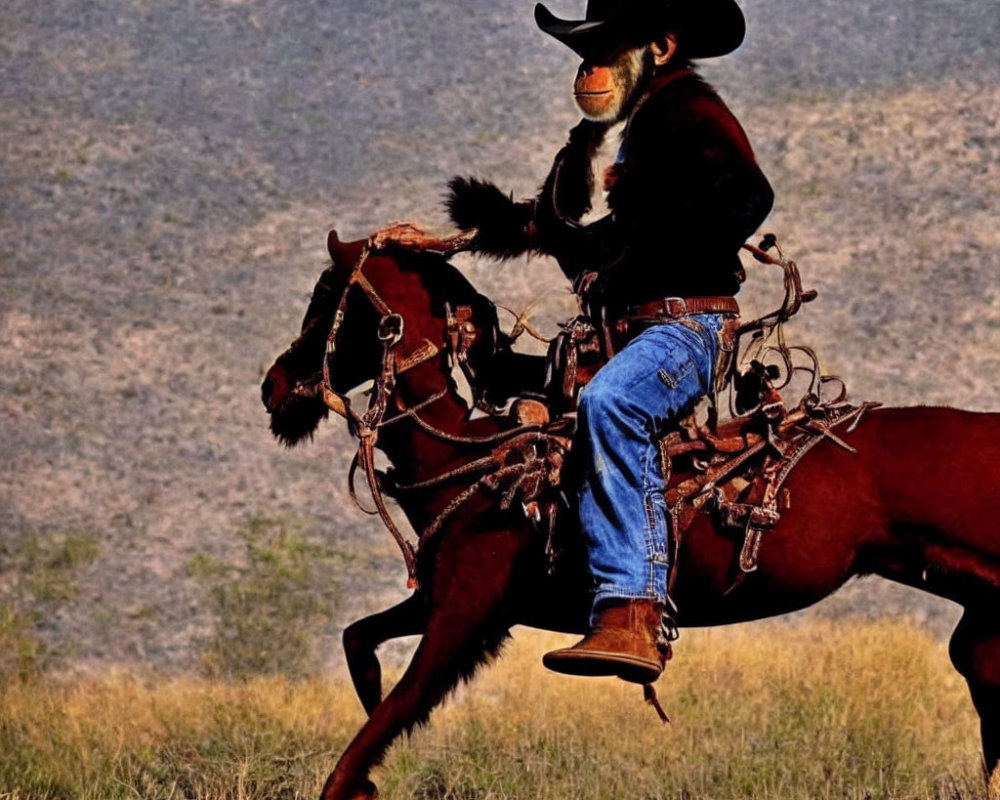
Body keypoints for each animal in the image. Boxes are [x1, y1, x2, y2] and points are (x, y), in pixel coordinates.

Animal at [260, 230, 1000, 800]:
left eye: (326, 299)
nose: (273, 386)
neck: (469, 455)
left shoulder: (464, 617)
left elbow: (383, 722)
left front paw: (358, 779)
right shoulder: (446, 599)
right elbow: (359, 643)